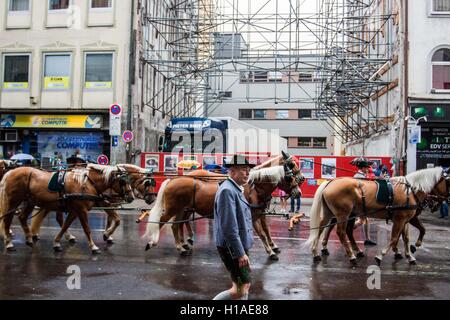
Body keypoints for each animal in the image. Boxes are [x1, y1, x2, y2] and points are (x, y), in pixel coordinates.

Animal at [0, 165, 134, 252]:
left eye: (129, 180)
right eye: (122, 181)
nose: (131, 197)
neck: (87, 183)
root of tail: (10, 172)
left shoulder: (75, 211)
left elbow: (65, 225)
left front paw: (57, 243)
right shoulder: (81, 210)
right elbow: (87, 229)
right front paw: (93, 246)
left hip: (30, 202)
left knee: (22, 217)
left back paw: (28, 238)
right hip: (13, 202)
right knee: (7, 220)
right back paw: (9, 243)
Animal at [143, 152, 306, 260]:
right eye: (291, 169)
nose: (299, 190)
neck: (254, 187)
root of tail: (173, 179)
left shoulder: (261, 214)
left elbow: (267, 231)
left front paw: (274, 247)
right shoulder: (253, 217)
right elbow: (262, 234)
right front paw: (270, 251)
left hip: (183, 209)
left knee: (177, 225)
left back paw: (183, 246)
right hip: (174, 208)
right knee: (163, 222)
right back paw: (155, 242)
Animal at [308, 168, 448, 264]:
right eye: (449, 181)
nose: (435, 205)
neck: (410, 191)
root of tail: (330, 182)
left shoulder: (406, 219)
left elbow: (408, 237)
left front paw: (409, 254)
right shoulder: (401, 219)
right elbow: (394, 238)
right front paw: (381, 255)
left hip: (332, 213)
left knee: (323, 228)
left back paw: (317, 252)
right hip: (343, 214)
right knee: (341, 232)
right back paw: (351, 255)